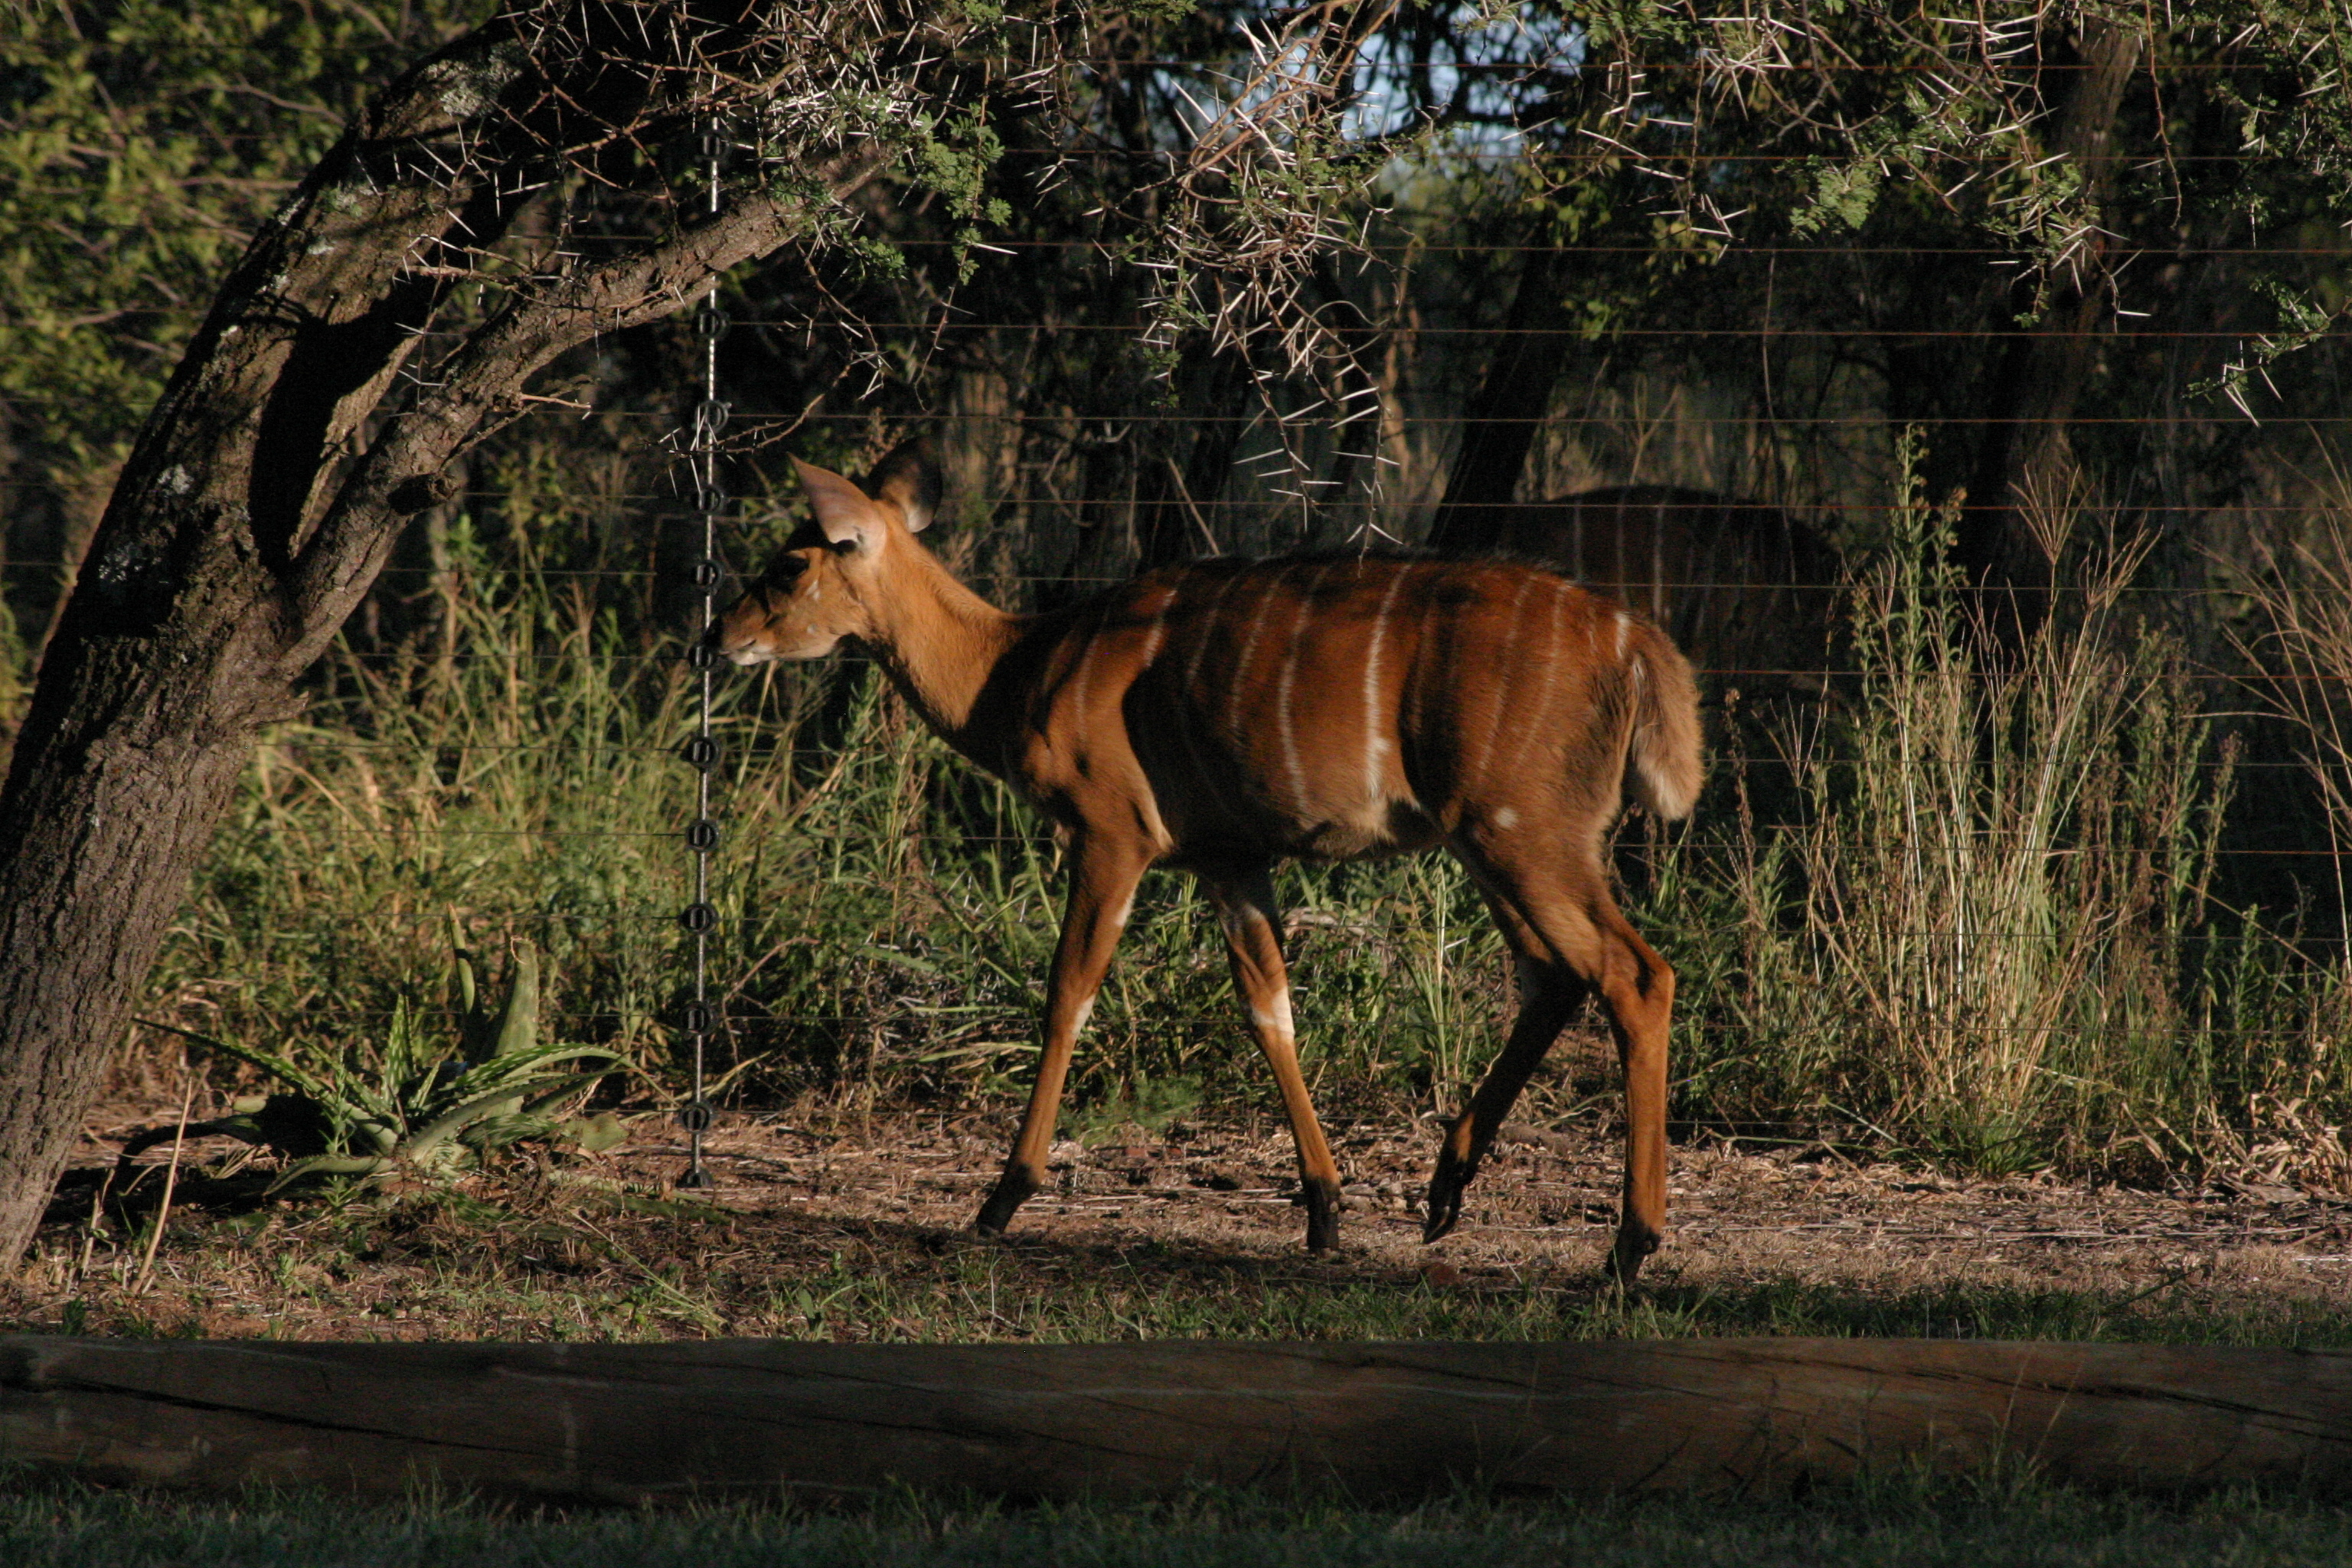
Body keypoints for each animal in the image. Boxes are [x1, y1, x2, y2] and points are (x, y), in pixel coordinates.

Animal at [705, 439, 1703, 1279]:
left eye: (792, 562)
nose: (722, 636)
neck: (1016, 668)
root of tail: (1639, 648)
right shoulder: (1229, 858)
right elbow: (1270, 1008)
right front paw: (1325, 1209)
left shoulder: (1112, 832)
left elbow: (1069, 990)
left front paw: (1001, 1196)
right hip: (1500, 839)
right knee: (1556, 975)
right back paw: (1445, 1192)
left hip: (1522, 830)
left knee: (1634, 973)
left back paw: (1629, 1246)